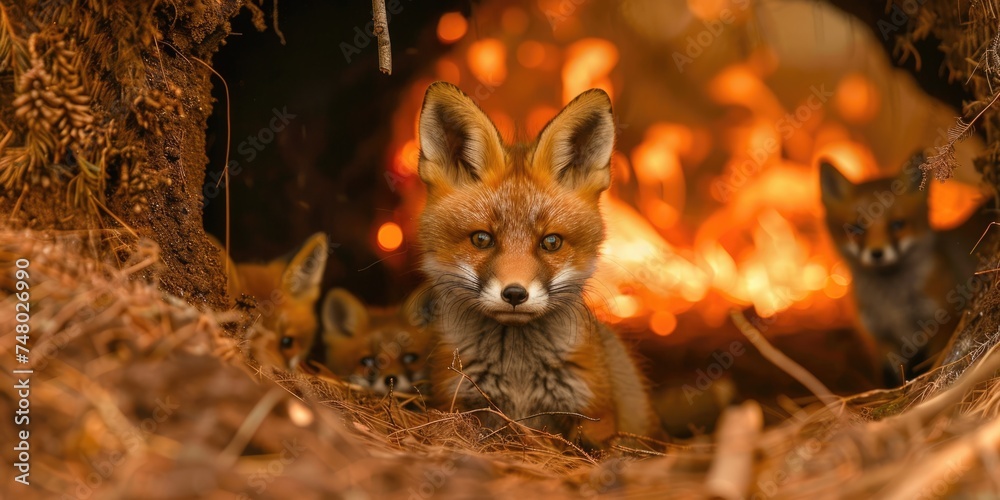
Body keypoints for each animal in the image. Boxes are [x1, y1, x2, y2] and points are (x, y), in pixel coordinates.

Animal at [414, 81, 660, 447]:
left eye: (551, 242)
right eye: (482, 239)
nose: (515, 294)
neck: (518, 377)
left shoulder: (594, 415)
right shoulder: (457, 401)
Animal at [820, 154, 987, 386]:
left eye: (897, 224)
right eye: (857, 229)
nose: (877, 253)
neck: (893, 305)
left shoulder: (943, 325)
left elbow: (927, 365)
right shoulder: (881, 340)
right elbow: (891, 378)